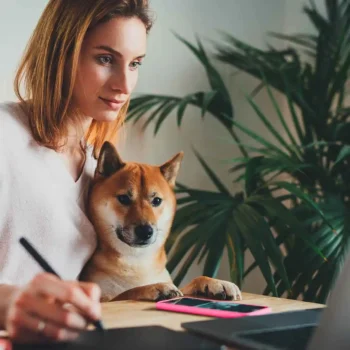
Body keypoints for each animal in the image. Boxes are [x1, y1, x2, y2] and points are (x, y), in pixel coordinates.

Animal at [80, 141, 242, 302]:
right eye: (124, 198)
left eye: (156, 201)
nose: (145, 231)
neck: (137, 261)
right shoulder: (102, 299)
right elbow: (129, 292)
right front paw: (155, 287)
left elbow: (194, 281)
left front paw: (215, 283)